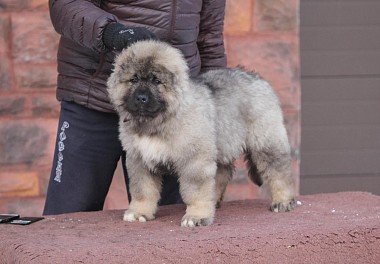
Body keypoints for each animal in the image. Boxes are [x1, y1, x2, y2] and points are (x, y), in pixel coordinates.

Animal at [107, 40, 296, 228]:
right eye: (134, 79)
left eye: (157, 81)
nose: (141, 98)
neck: (157, 121)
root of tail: (258, 78)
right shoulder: (139, 160)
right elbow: (142, 190)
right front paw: (140, 212)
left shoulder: (194, 159)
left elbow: (196, 191)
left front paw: (196, 216)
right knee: (222, 174)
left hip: (266, 141)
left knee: (279, 172)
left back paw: (284, 200)